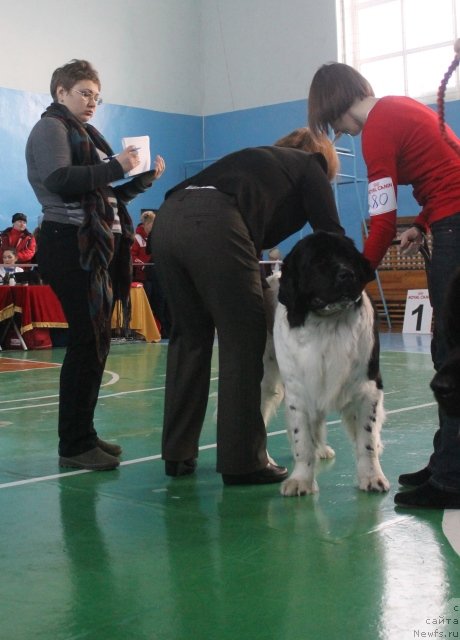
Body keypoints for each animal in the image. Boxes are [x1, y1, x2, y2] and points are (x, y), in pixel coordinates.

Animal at [262, 232, 388, 498]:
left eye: (348, 257)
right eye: (316, 262)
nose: (347, 274)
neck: (327, 324)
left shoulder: (368, 388)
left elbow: (367, 440)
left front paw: (372, 477)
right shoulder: (299, 389)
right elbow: (301, 438)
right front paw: (300, 480)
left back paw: (320, 448)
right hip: (267, 382)